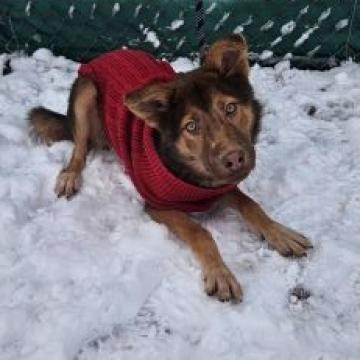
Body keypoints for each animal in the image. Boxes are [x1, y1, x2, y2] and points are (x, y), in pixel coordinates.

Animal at [28, 35, 312, 302]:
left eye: (230, 108)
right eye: (192, 126)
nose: (234, 159)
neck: (193, 175)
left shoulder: (220, 185)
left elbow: (251, 204)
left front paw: (279, 232)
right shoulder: (157, 205)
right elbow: (200, 231)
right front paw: (220, 273)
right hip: (86, 89)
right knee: (80, 147)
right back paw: (70, 175)